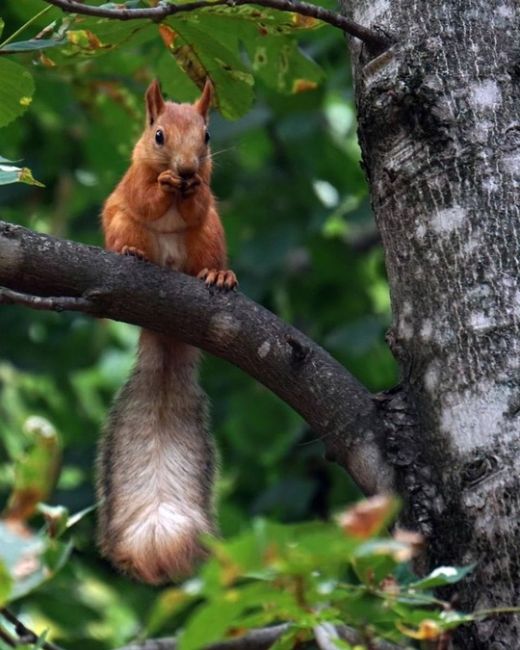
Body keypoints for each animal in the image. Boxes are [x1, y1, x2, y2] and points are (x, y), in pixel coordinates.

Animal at [96, 79, 237, 584]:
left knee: (204, 243)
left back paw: (218, 276)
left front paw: (189, 190)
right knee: (130, 229)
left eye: (207, 136)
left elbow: (197, 203)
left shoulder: (207, 195)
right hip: (120, 223)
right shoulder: (132, 180)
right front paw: (164, 186)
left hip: (211, 236)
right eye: (158, 135)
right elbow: (145, 196)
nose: (187, 168)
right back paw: (134, 254)